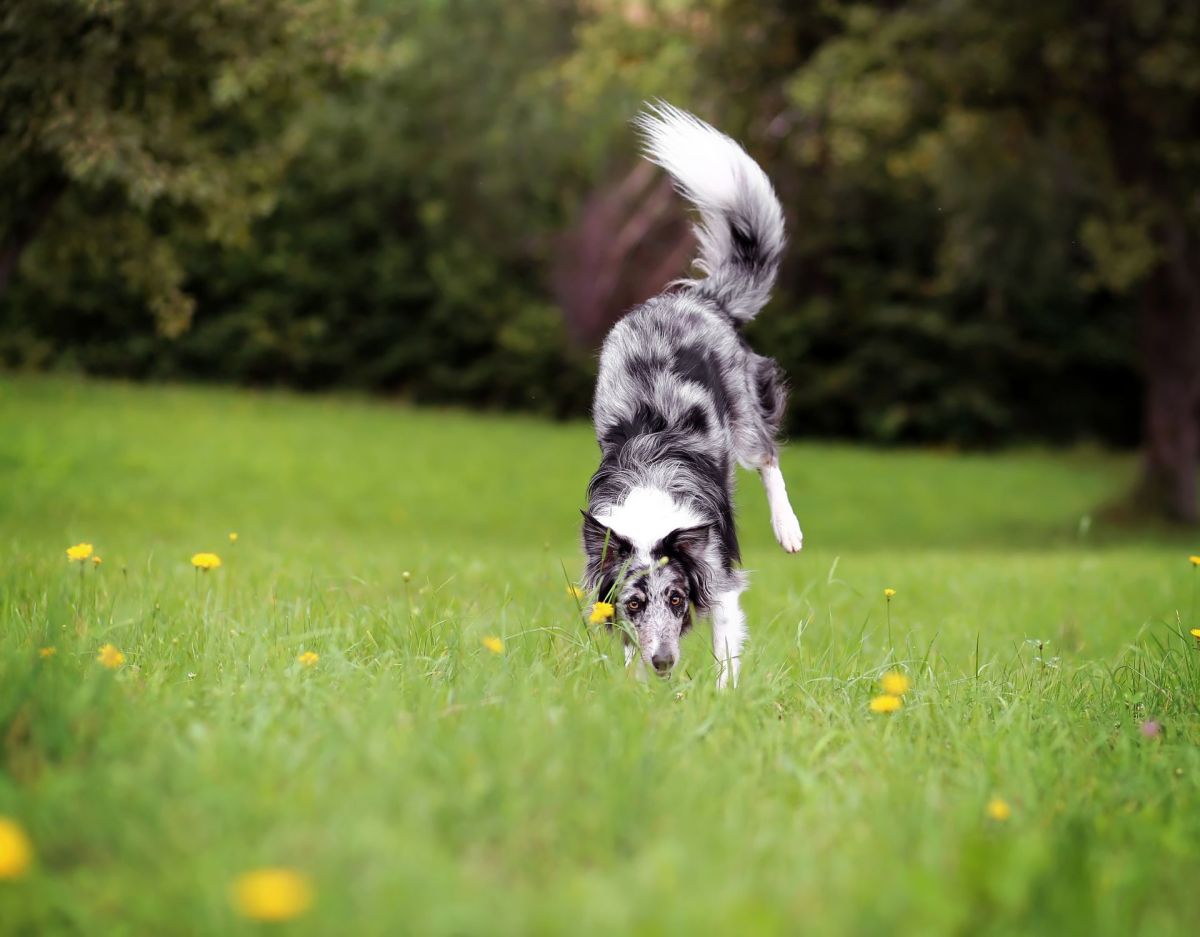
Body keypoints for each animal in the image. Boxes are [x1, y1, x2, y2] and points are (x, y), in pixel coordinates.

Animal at [583, 104, 806, 686]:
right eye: (634, 604)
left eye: (678, 598)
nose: (664, 663)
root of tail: (701, 298)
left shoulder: (720, 579)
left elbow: (727, 652)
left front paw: (724, 700)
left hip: (744, 414)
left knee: (768, 457)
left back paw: (788, 529)